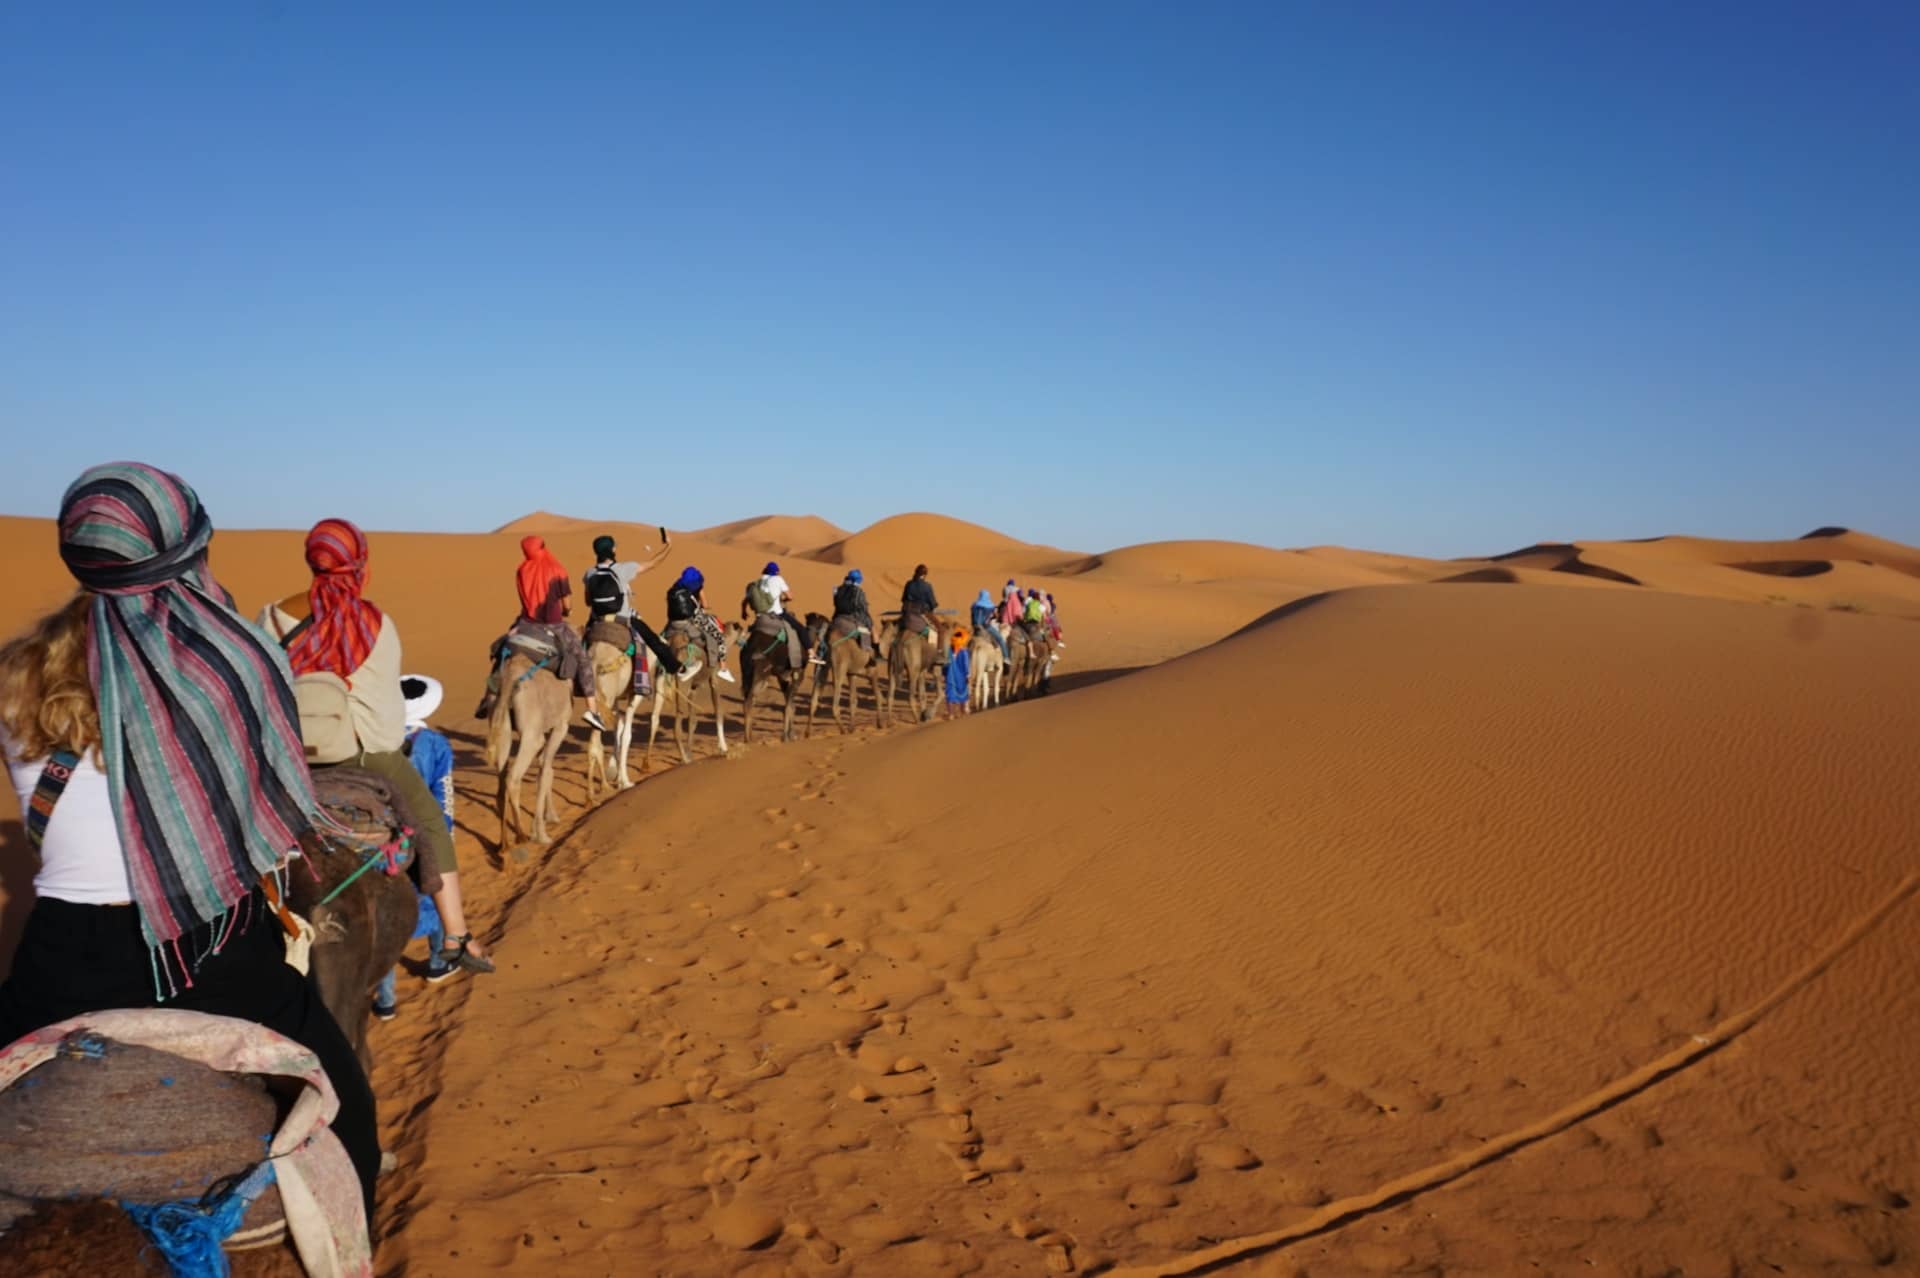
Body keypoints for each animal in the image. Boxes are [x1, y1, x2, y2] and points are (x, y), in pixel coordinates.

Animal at [487, 648, 568, 844]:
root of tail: (509, 680)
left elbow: (546, 768)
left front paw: (551, 816)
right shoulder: (560, 726)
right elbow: (545, 772)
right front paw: (540, 833)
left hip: (501, 723)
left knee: (501, 782)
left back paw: (503, 844)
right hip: (531, 735)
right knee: (513, 778)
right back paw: (521, 834)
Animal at [648, 617, 729, 767]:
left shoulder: (693, 688)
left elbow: (692, 720)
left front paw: (690, 753)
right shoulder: (713, 676)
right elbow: (718, 712)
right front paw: (723, 748)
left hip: (660, 682)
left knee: (654, 718)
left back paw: (646, 764)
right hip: (681, 684)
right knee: (677, 724)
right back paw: (684, 760)